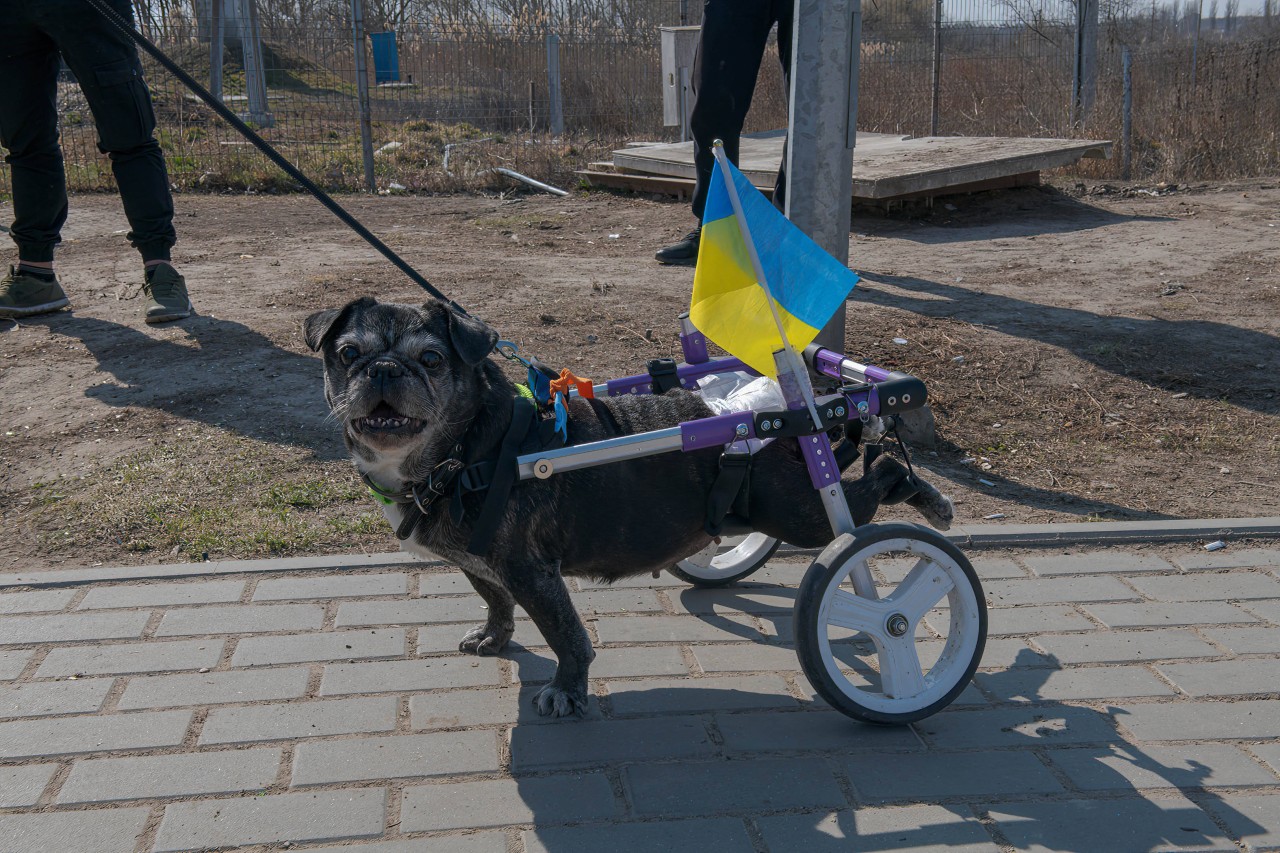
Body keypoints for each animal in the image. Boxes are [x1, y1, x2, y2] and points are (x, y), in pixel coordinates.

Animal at [307, 295, 952, 712]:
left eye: (432, 360)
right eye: (347, 353)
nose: (383, 369)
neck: (465, 450)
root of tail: (796, 406)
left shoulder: (532, 573)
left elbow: (565, 635)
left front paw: (568, 691)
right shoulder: (482, 567)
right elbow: (495, 602)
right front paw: (494, 637)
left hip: (803, 515)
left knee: (879, 478)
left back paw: (930, 500)